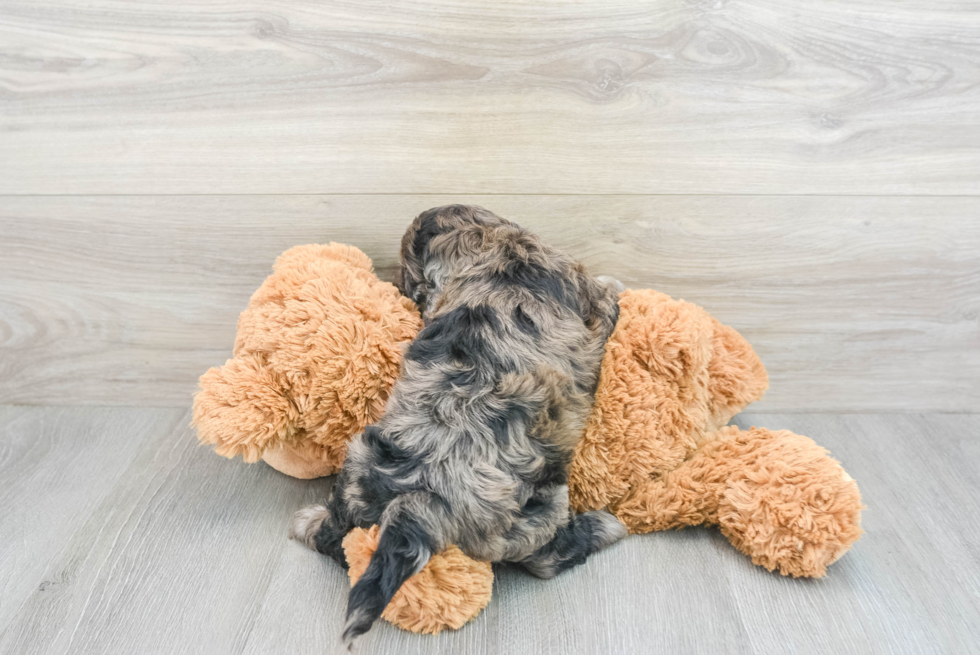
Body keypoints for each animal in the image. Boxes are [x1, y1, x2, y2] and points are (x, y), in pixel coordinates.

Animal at [290, 205, 628, 644]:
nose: (398, 286)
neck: (490, 242)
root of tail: (421, 499)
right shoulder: (591, 298)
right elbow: (607, 294)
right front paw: (617, 283)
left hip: (358, 468)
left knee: (336, 535)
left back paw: (307, 522)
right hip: (538, 509)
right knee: (545, 559)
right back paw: (604, 527)